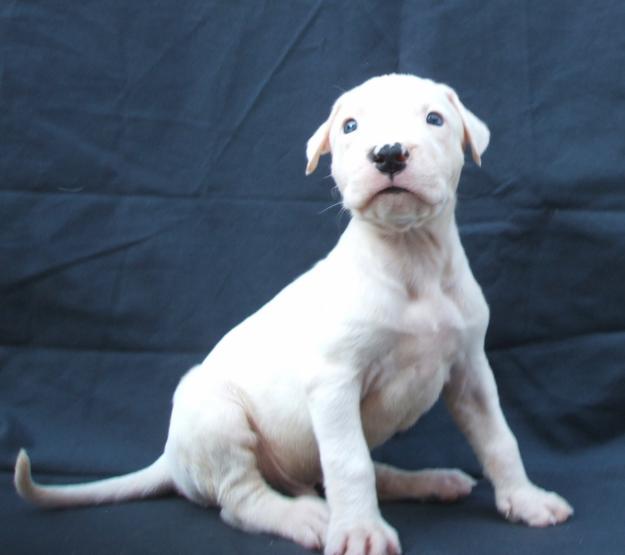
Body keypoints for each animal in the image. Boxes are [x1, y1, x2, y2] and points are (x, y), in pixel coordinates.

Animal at [14, 75, 572, 555]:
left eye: (435, 118)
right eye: (350, 126)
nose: (389, 153)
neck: (410, 258)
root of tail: (171, 460)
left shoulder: (470, 371)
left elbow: (499, 439)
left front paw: (525, 499)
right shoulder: (334, 383)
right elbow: (349, 463)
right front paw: (362, 533)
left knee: (346, 471)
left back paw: (428, 482)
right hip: (216, 416)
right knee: (242, 501)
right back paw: (306, 516)